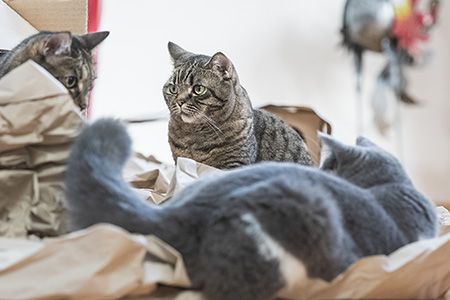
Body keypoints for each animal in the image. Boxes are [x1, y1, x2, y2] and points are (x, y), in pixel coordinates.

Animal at [163, 42, 314, 169]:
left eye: (198, 89)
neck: (193, 135)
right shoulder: (179, 161)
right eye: (173, 89)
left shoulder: (234, 163)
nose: (179, 102)